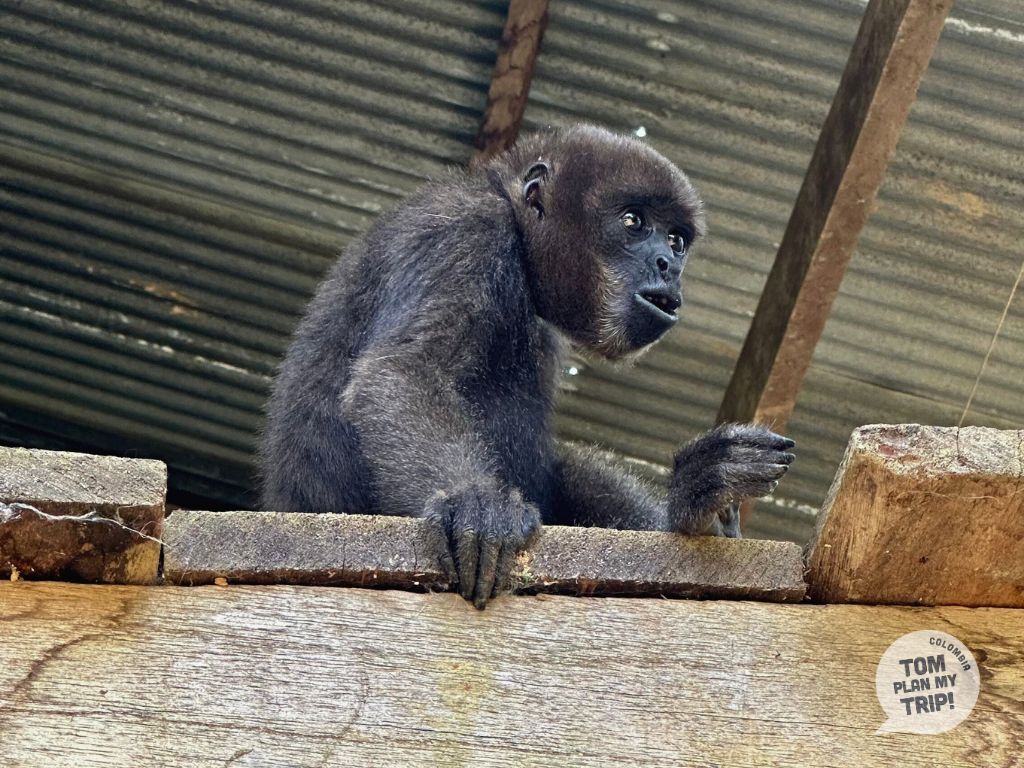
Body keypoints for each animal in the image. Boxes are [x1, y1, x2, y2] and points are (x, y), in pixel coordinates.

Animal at [259, 124, 795, 609]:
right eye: (633, 222)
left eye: (677, 239)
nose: (668, 265)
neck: (515, 228)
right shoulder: (467, 233)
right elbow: (403, 370)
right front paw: (472, 504)